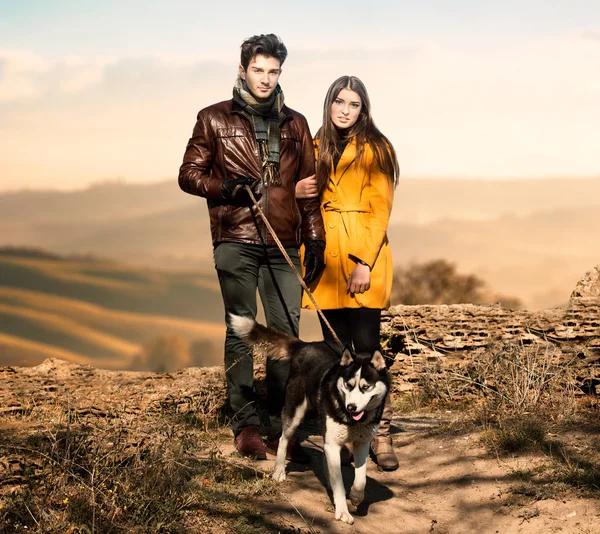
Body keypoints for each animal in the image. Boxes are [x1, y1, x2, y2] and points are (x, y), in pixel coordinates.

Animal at [229, 316, 390, 524]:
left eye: (366, 387)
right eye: (348, 385)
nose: (351, 407)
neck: (353, 421)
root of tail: (304, 345)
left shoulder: (362, 442)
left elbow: (361, 479)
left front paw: (356, 496)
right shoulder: (333, 443)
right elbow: (339, 483)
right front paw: (342, 511)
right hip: (295, 412)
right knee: (283, 439)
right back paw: (279, 471)